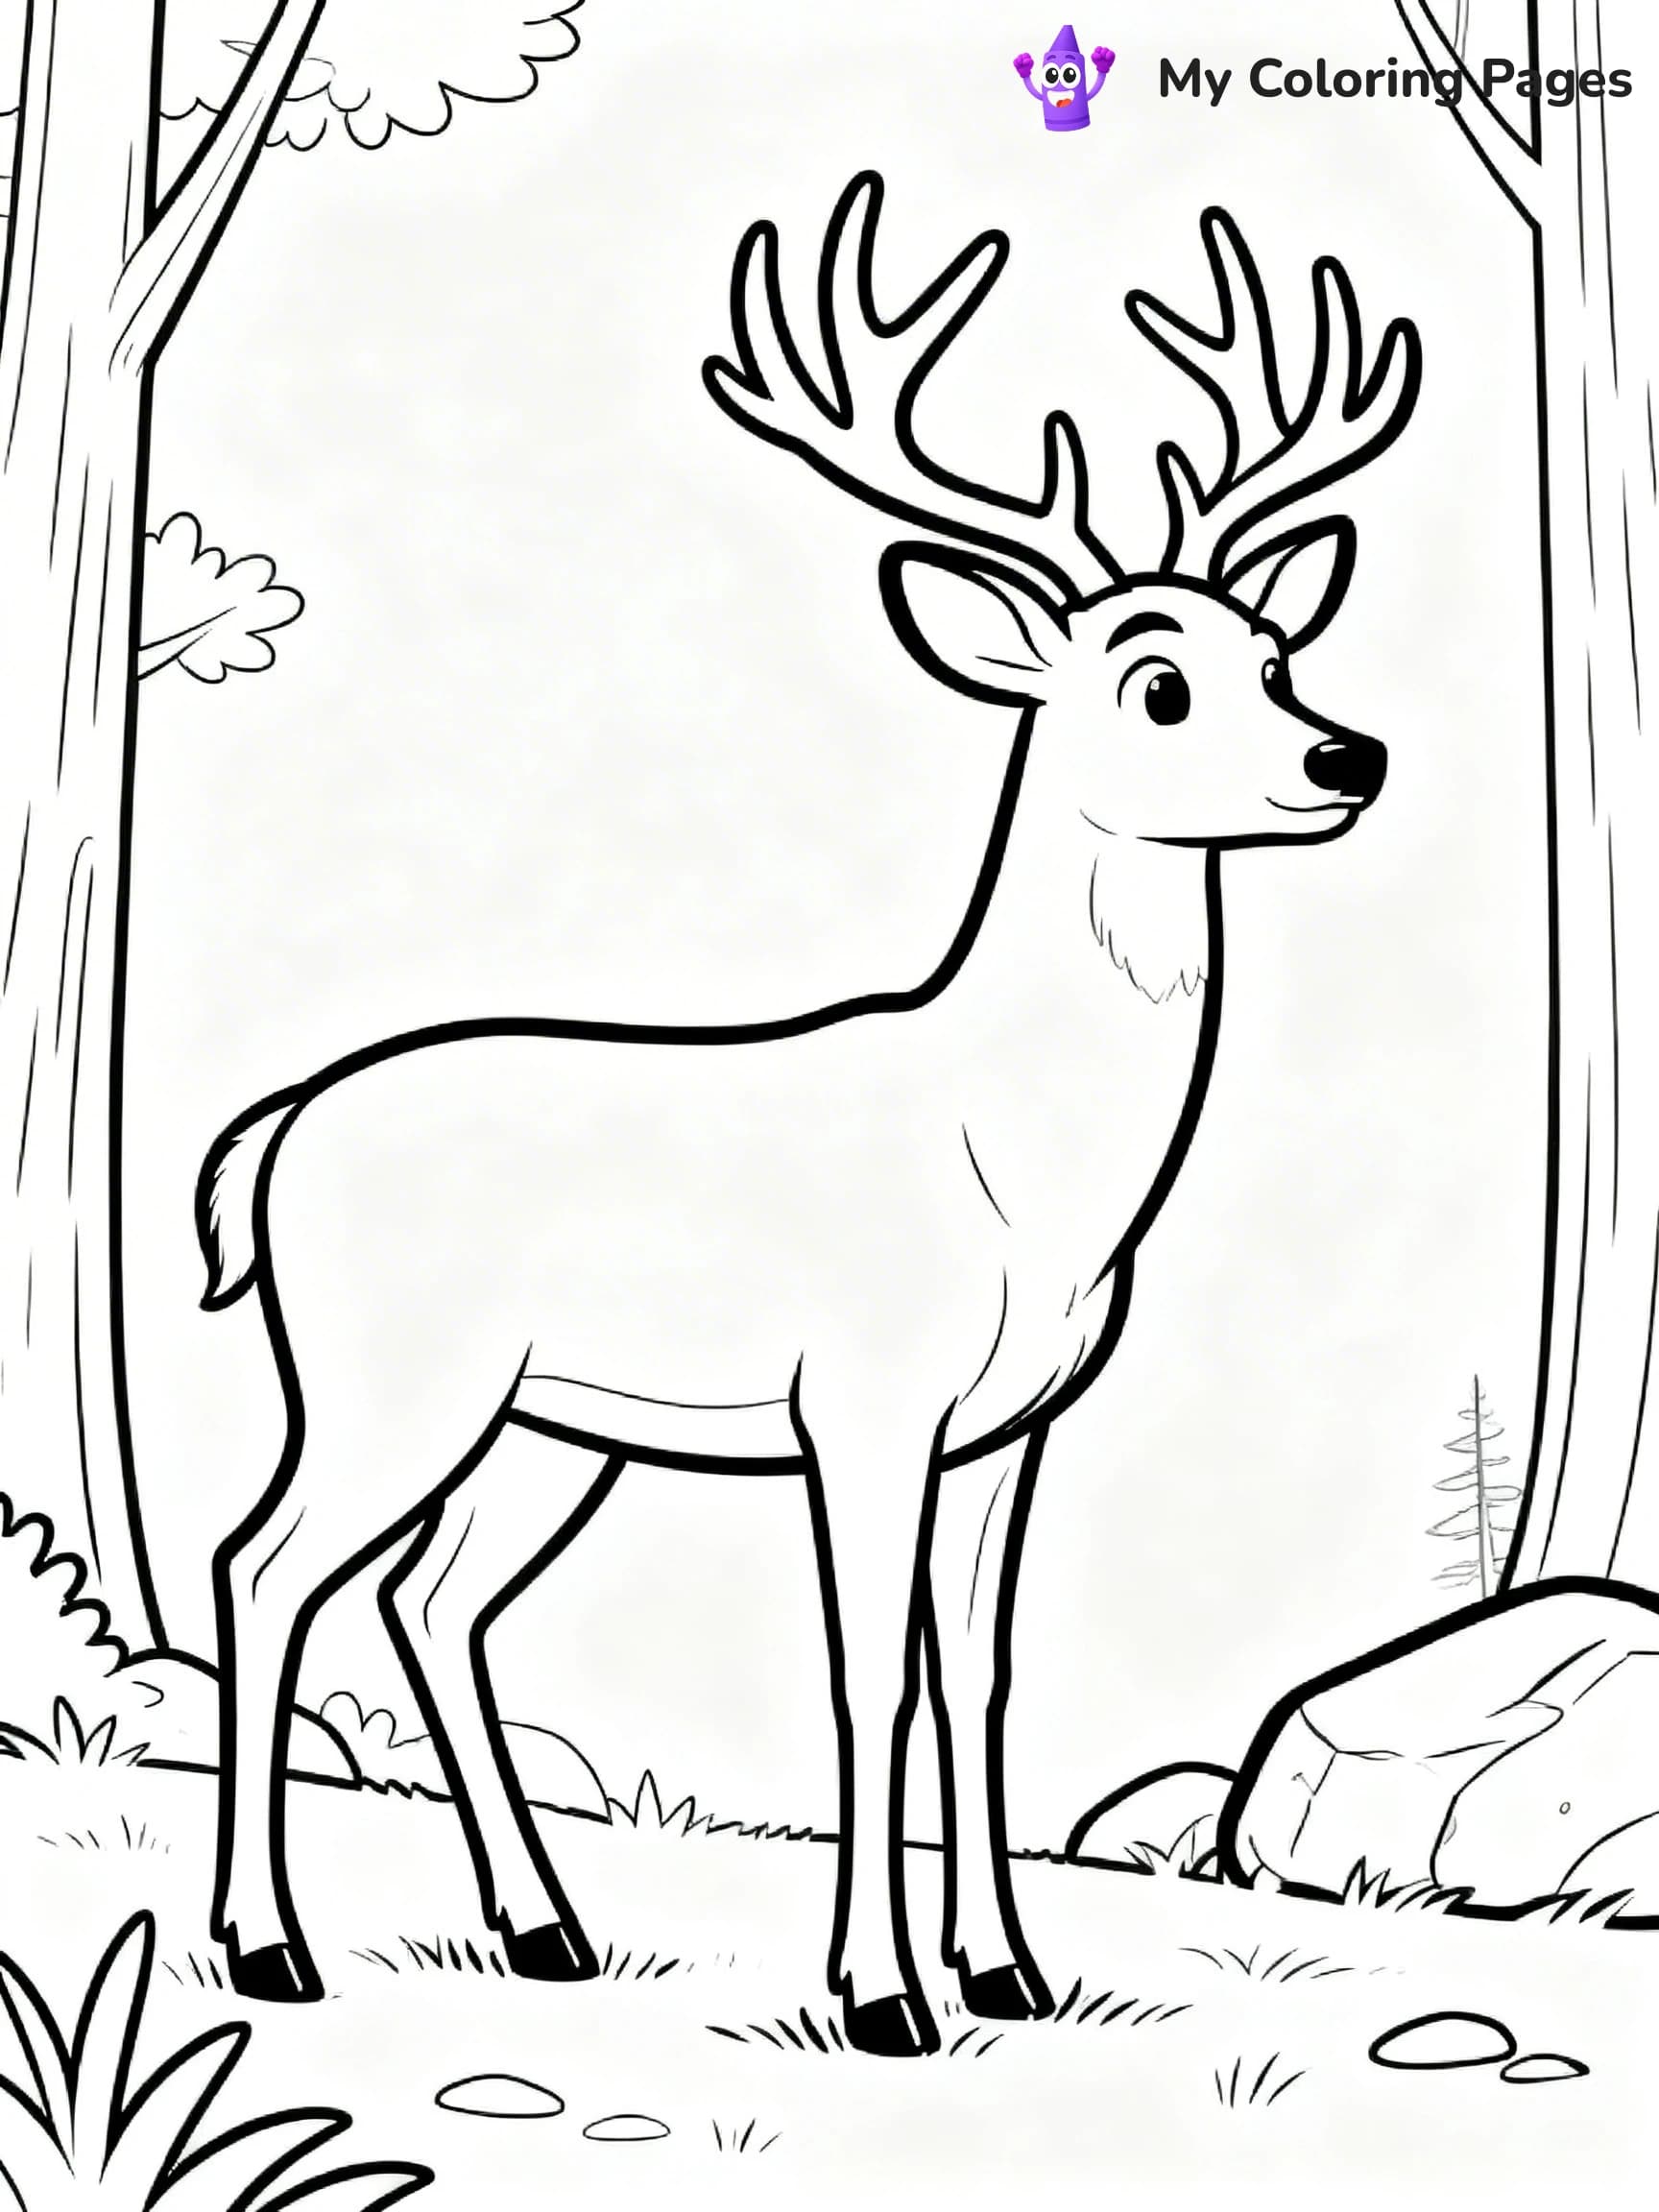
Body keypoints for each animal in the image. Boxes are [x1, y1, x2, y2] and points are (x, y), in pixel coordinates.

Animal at [198, 172, 1420, 2057]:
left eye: (1276, 648)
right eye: (1155, 681)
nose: (1348, 756)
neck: (1032, 1180)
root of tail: (268, 1134)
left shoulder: (1009, 1427)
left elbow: (976, 1674)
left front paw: (1013, 1973)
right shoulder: (863, 1397)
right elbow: (860, 1676)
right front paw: (882, 1994)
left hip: (550, 1424)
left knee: (431, 1596)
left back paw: (546, 1929)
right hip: (384, 1372)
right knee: (265, 1566)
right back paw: (272, 1949)